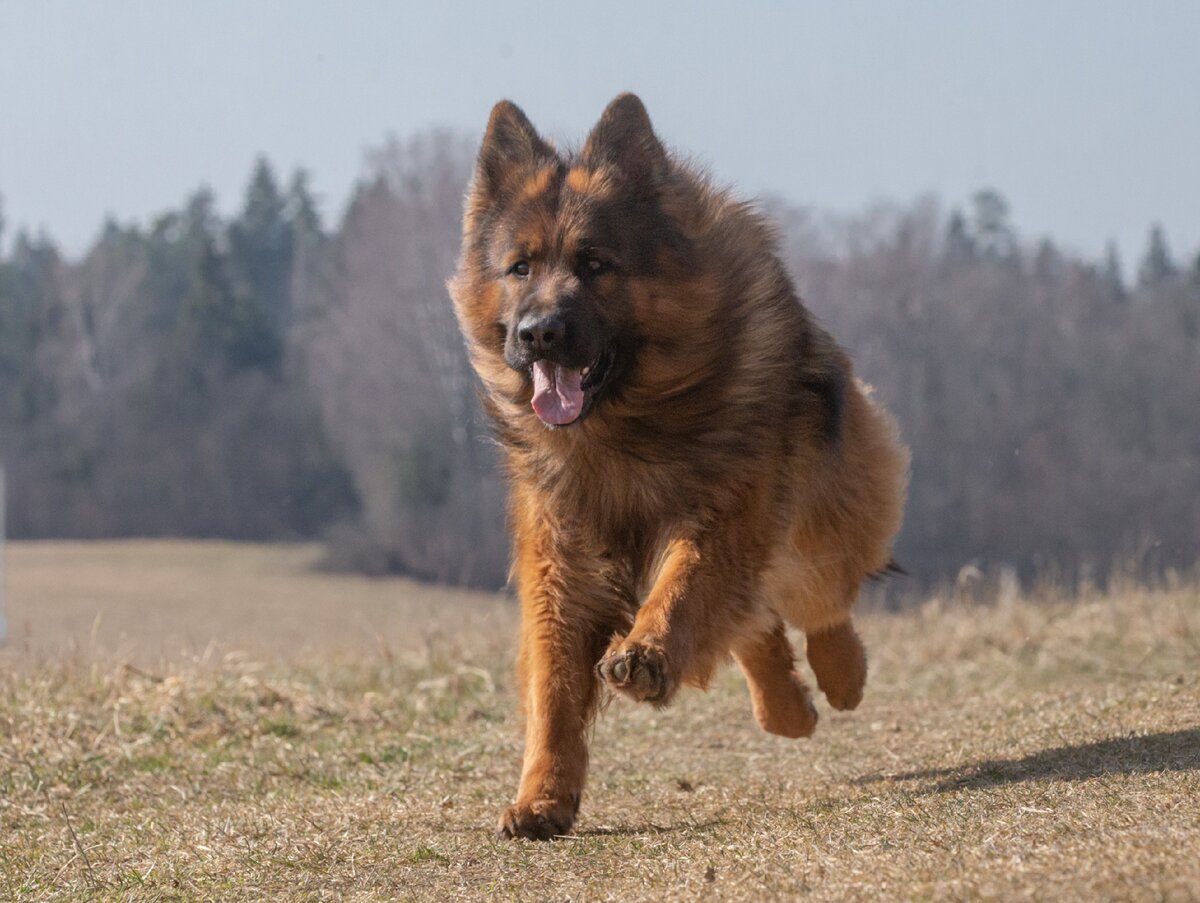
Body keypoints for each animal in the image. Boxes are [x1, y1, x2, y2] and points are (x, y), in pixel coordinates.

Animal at [451, 93, 907, 840]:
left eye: (595, 264)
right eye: (520, 268)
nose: (538, 333)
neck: (622, 430)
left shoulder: (726, 514)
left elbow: (685, 588)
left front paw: (646, 654)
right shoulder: (561, 559)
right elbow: (553, 686)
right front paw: (543, 797)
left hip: (815, 519)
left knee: (819, 597)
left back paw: (843, 675)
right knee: (757, 619)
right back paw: (786, 706)